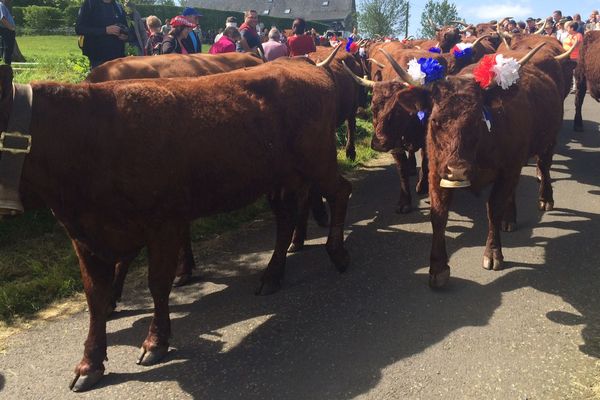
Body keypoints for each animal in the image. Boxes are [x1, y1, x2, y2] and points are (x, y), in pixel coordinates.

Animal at [0, 57, 352, 392]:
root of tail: (301, 63)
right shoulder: (84, 235)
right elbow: (95, 297)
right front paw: (89, 365)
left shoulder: (163, 225)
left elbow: (158, 284)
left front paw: (156, 342)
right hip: (282, 178)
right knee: (286, 221)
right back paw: (272, 276)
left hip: (318, 161)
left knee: (341, 191)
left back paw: (338, 254)